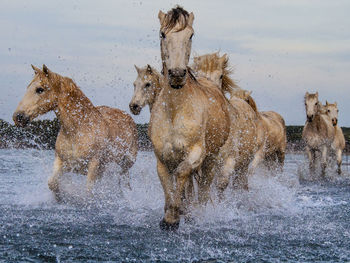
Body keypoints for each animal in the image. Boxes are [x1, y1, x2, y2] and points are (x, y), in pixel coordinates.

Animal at [13, 65, 138, 200]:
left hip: (126, 164)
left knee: (124, 181)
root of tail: (128, 118)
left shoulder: (93, 164)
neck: (78, 130)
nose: (17, 117)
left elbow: (89, 191)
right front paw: (60, 197)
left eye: (40, 89)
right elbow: (52, 183)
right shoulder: (62, 162)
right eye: (28, 87)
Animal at [153, 5, 260, 230]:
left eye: (191, 34)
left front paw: (174, 217)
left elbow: (183, 173)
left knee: (206, 185)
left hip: (213, 159)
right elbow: (168, 182)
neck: (175, 111)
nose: (177, 74)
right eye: (162, 34)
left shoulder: (198, 153)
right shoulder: (162, 157)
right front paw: (169, 215)